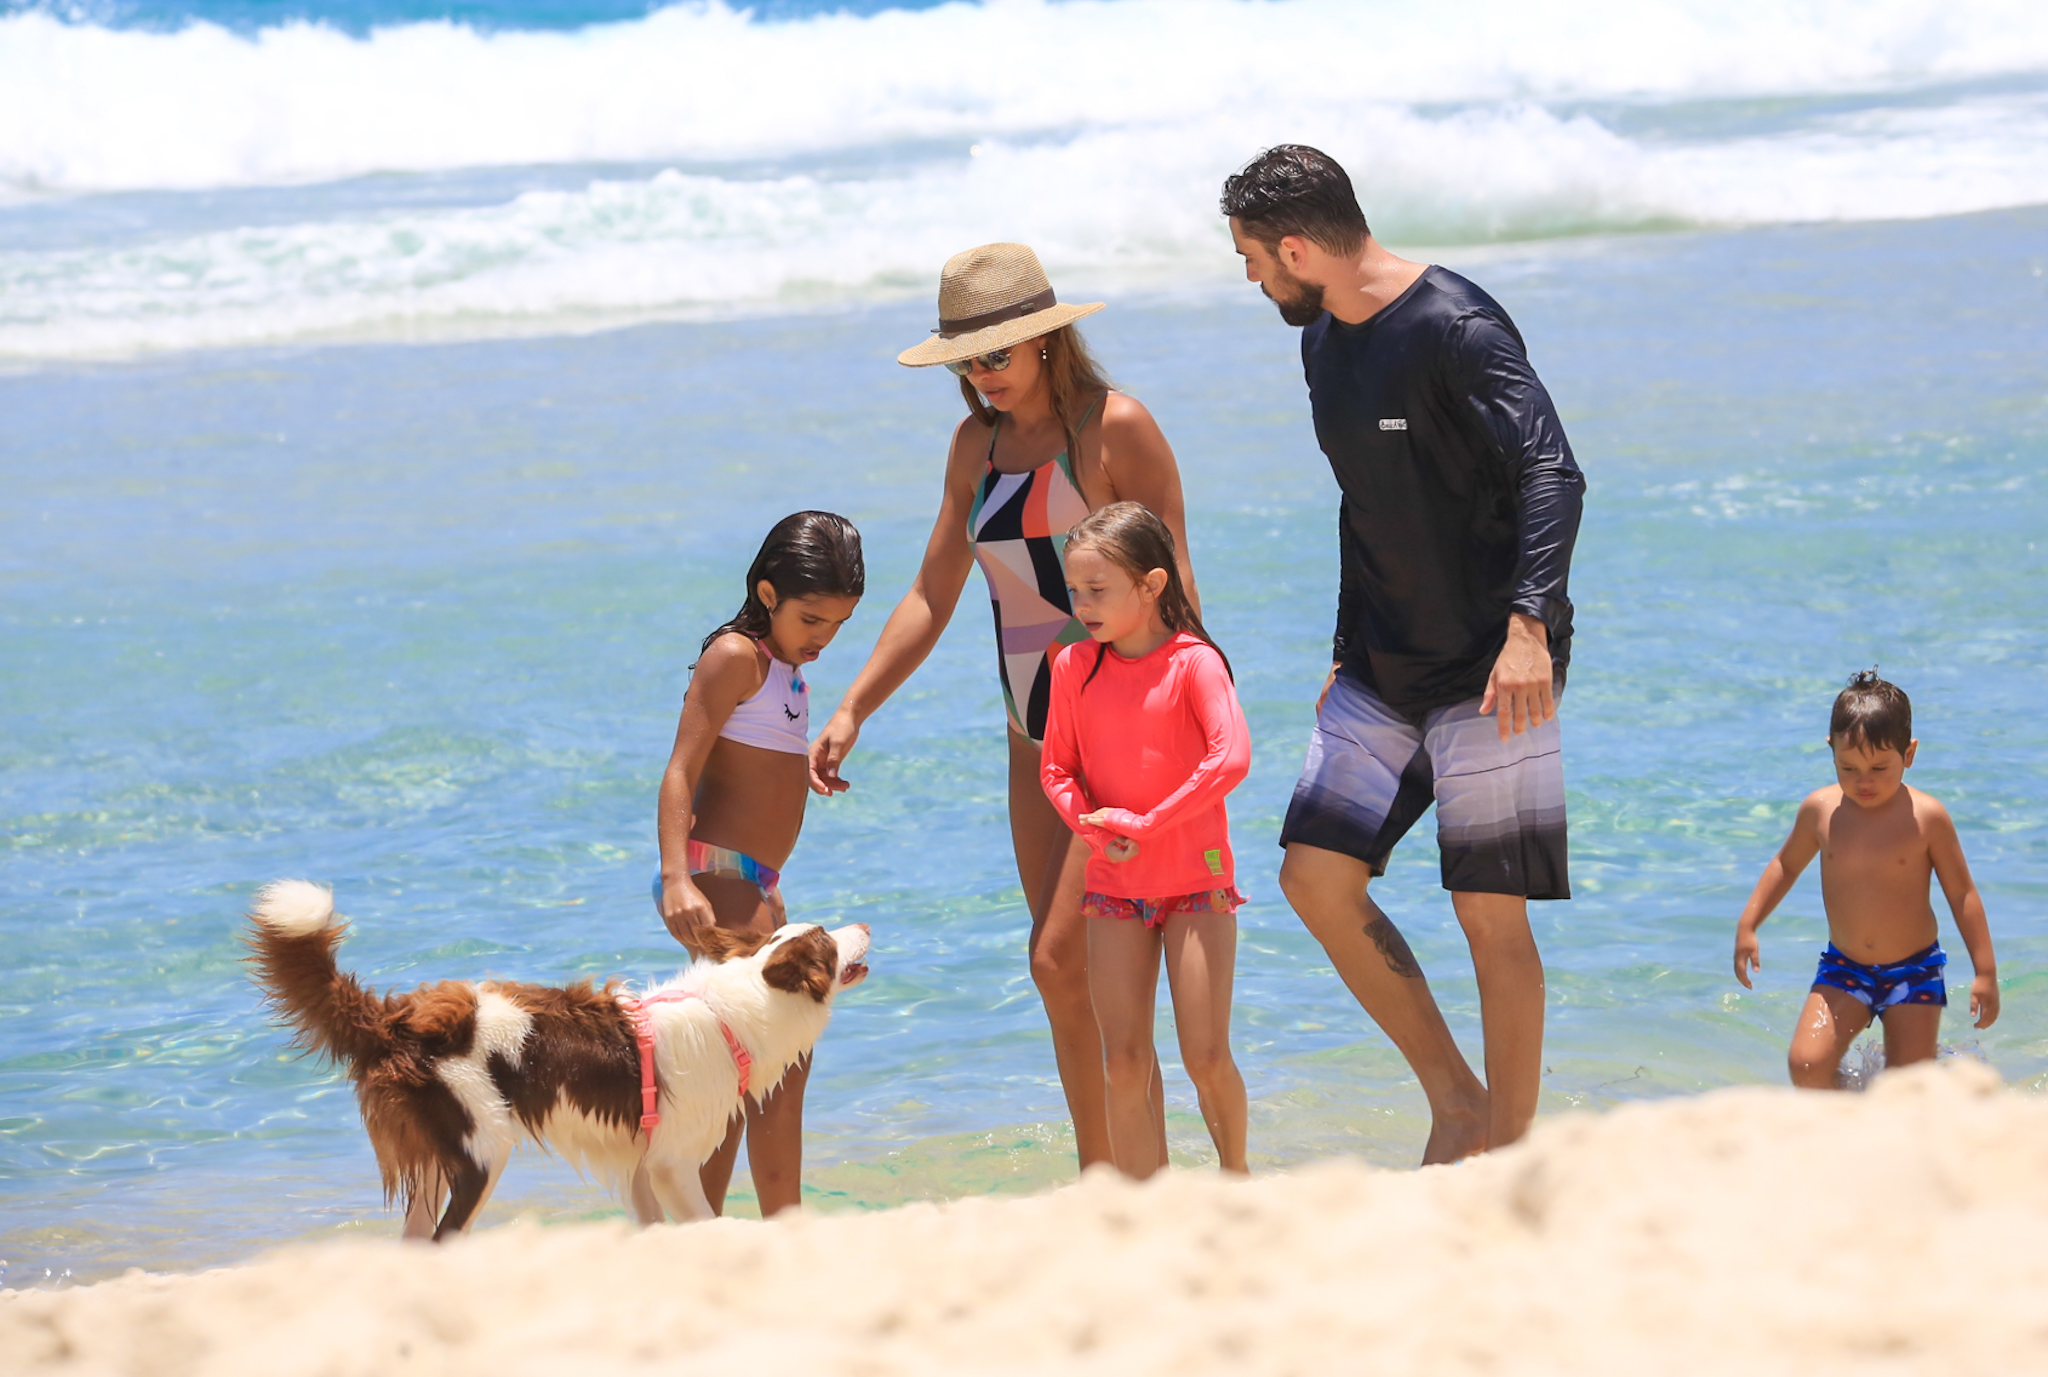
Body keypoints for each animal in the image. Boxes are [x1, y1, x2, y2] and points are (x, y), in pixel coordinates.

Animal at [243, 889, 868, 1245]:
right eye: (826, 940)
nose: (864, 925)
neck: (736, 1009)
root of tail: (396, 1019)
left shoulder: (640, 1165)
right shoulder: (671, 1164)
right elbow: (703, 1224)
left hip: (433, 1152)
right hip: (480, 1153)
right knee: (446, 1235)